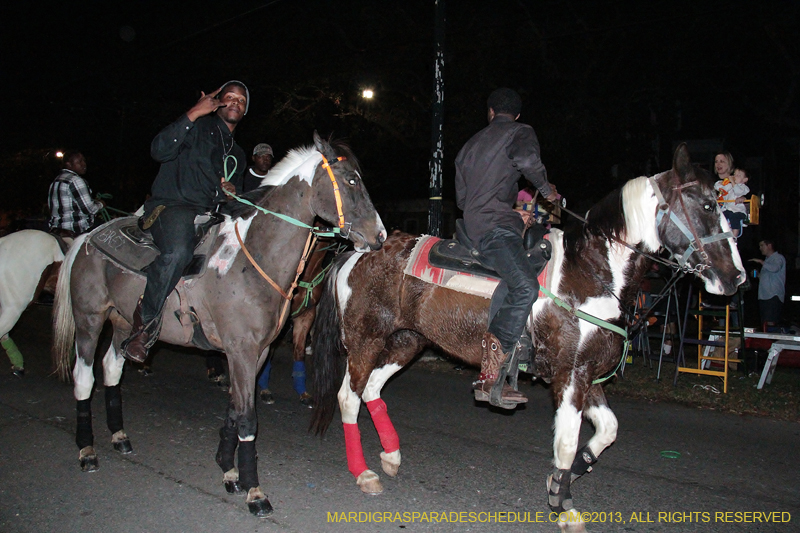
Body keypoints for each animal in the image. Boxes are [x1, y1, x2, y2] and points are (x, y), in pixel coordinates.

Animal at [310, 143, 748, 528]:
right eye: (707, 206)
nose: (736, 278)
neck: (589, 275)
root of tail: (356, 252)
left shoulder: (587, 373)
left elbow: (607, 430)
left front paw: (566, 477)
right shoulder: (569, 377)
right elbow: (567, 441)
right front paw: (564, 505)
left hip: (407, 342)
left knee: (371, 390)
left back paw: (391, 456)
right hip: (366, 341)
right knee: (349, 396)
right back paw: (364, 472)